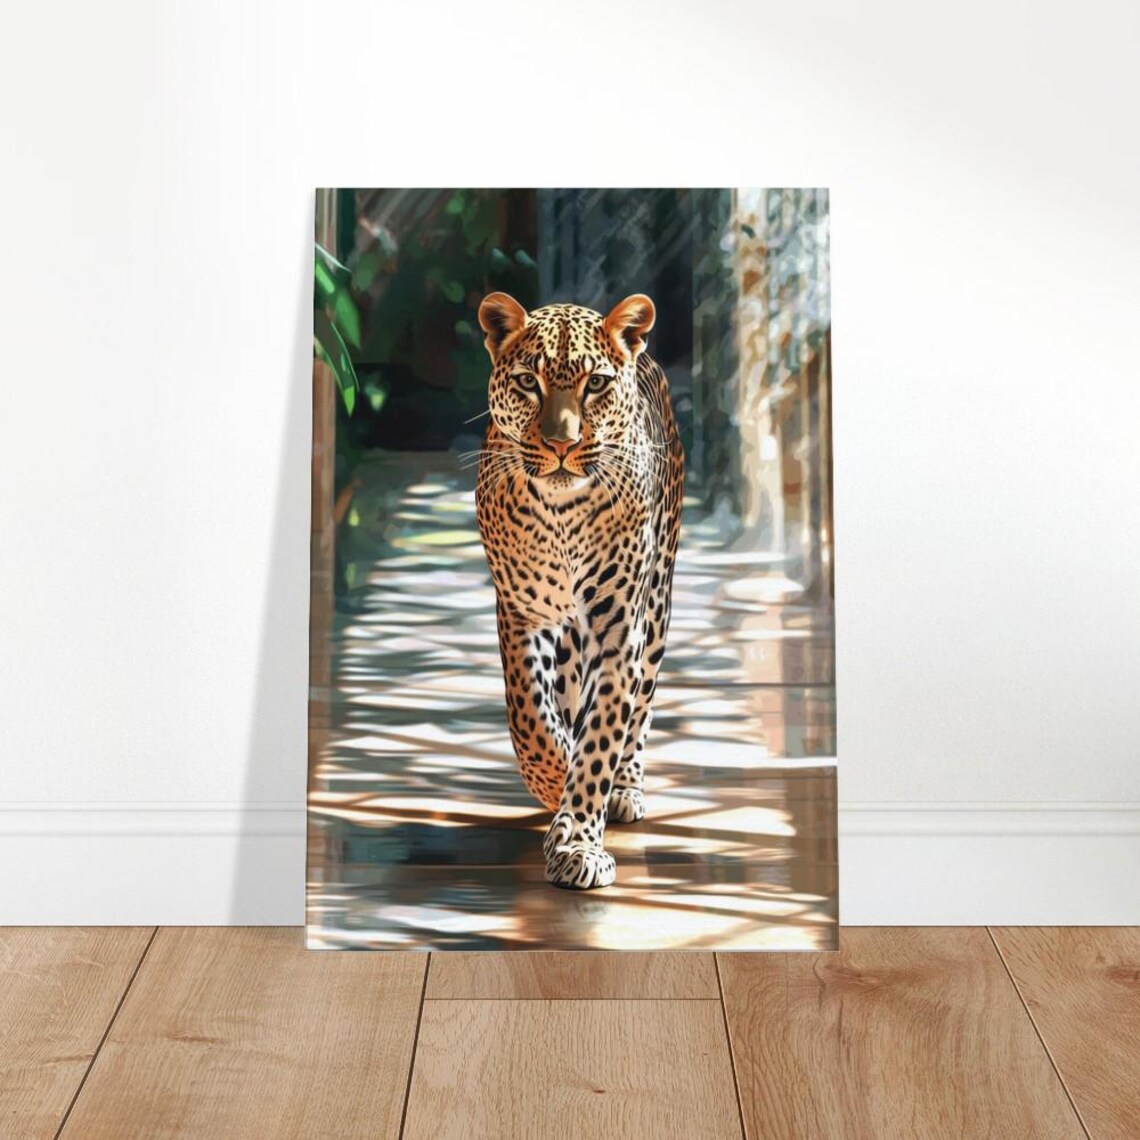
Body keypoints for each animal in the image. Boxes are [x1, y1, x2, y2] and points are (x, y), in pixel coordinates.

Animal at [474, 291, 685, 889]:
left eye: (596, 384)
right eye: (528, 381)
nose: (561, 445)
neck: (564, 514)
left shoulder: (619, 627)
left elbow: (603, 735)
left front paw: (578, 840)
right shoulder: (521, 611)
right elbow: (530, 716)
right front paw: (553, 781)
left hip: (656, 610)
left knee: (641, 709)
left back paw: (626, 786)